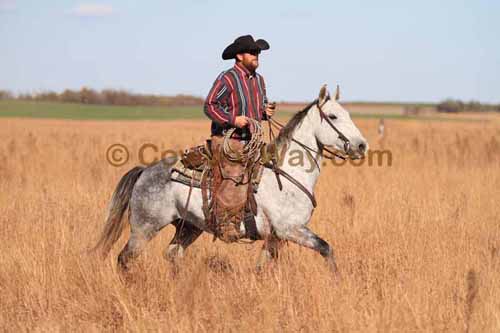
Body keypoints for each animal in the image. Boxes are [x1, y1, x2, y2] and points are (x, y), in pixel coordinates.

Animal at [94, 85, 368, 272]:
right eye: (333, 116)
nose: (361, 145)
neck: (287, 176)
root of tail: (144, 171)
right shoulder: (290, 229)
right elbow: (326, 248)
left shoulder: (275, 237)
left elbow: (262, 268)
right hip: (144, 228)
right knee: (124, 259)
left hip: (188, 227)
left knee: (172, 254)